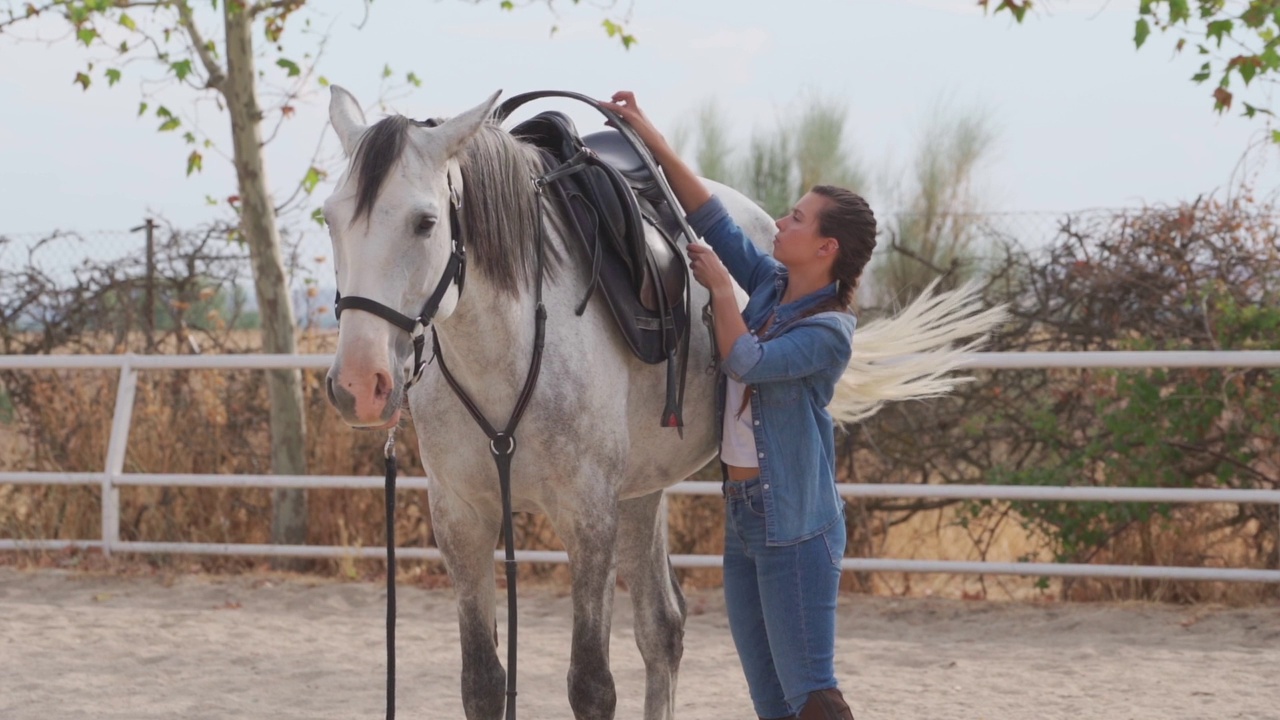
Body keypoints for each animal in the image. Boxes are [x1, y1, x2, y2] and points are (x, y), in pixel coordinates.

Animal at [322, 85, 1008, 717]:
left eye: (425, 222)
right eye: (330, 218)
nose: (359, 383)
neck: (508, 347)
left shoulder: (587, 516)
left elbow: (591, 685)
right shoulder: (462, 519)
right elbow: (483, 683)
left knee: (662, 632)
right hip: (640, 492)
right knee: (663, 628)